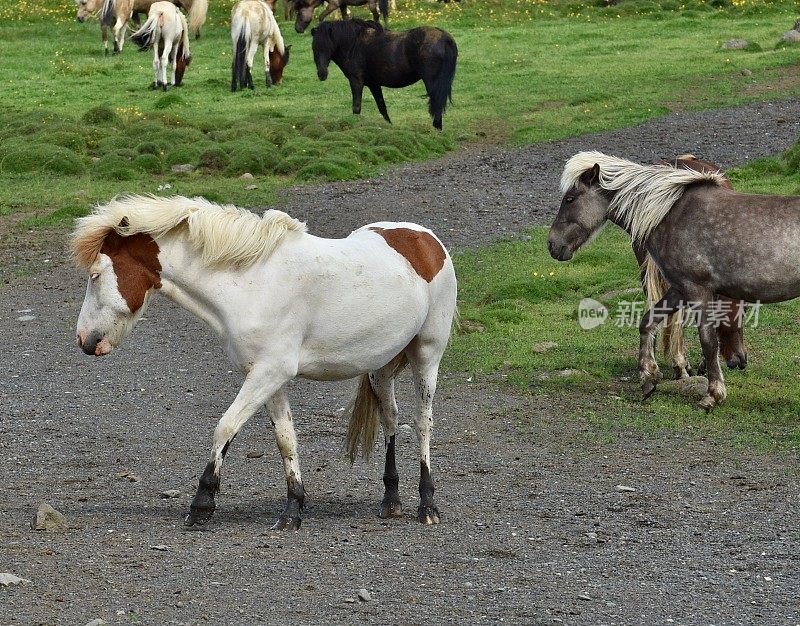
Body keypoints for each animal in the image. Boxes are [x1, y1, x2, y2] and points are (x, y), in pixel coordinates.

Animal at [72, 194, 460, 528]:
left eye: (95, 275)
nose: (84, 340)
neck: (250, 282)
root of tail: (425, 240)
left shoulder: (270, 372)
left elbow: (226, 425)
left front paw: (202, 504)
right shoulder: (266, 376)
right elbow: (286, 439)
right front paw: (292, 510)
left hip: (427, 355)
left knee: (422, 423)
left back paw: (427, 505)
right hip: (380, 366)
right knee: (390, 419)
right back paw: (391, 501)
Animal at [310, 19, 456, 129]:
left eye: (328, 46)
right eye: (314, 48)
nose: (322, 73)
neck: (354, 44)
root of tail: (445, 38)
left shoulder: (356, 81)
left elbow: (356, 108)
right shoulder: (374, 84)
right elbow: (382, 108)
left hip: (432, 82)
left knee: (437, 104)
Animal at [548, 151, 800, 410]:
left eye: (570, 199)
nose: (552, 244)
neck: (669, 213)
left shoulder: (697, 291)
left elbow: (708, 342)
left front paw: (712, 395)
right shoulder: (679, 289)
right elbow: (648, 322)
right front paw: (648, 378)